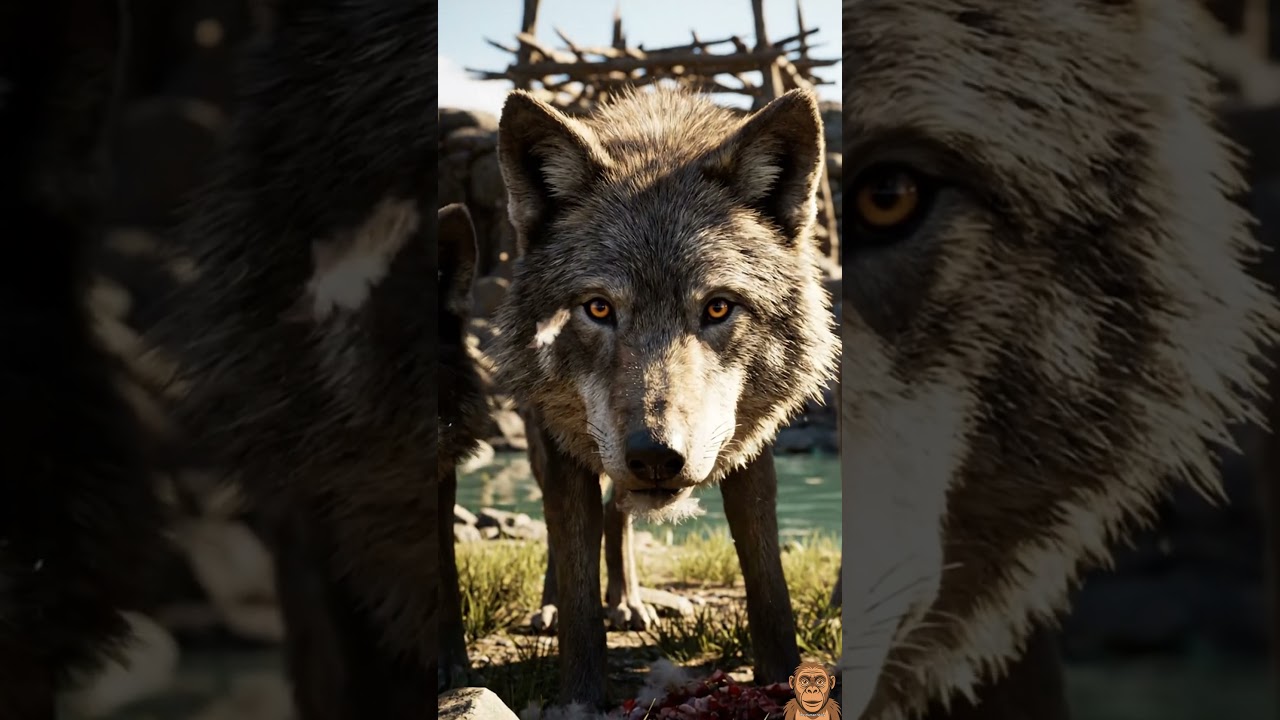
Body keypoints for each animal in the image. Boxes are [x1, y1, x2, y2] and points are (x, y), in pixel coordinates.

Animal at [492, 86, 840, 706]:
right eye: (599, 308)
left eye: (718, 307)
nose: (655, 456)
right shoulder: (562, 440)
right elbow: (577, 581)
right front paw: (581, 698)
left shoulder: (751, 446)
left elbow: (765, 573)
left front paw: (783, 678)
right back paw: (559, 606)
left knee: (618, 512)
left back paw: (629, 602)